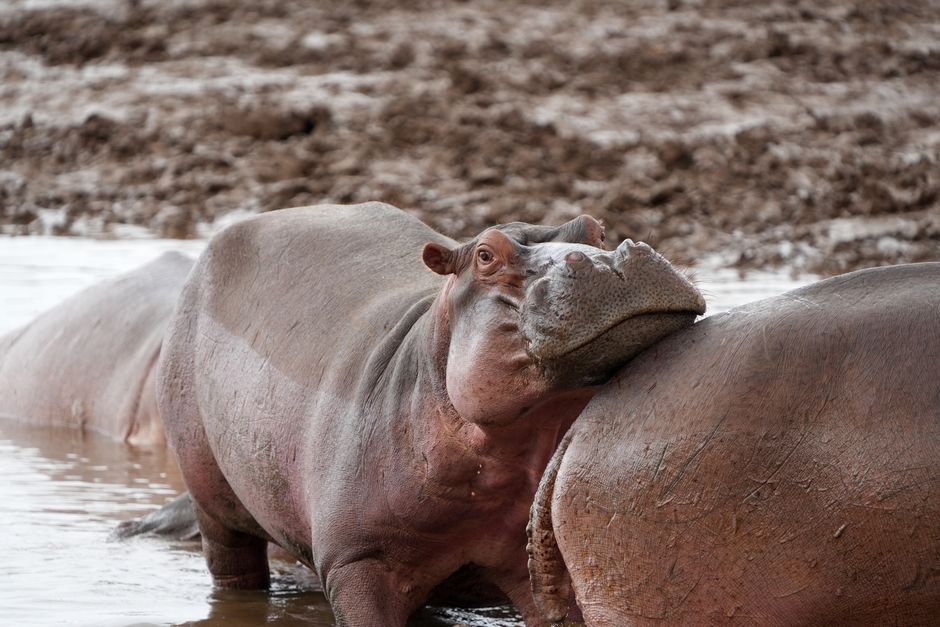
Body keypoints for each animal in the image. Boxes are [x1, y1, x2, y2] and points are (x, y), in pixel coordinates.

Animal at [158, 202, 705, 625]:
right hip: (209, 492)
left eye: (597, 230)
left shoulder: (535, 562)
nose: (610, 263)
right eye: (485, 255)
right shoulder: (357, 562)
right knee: (232, 562)